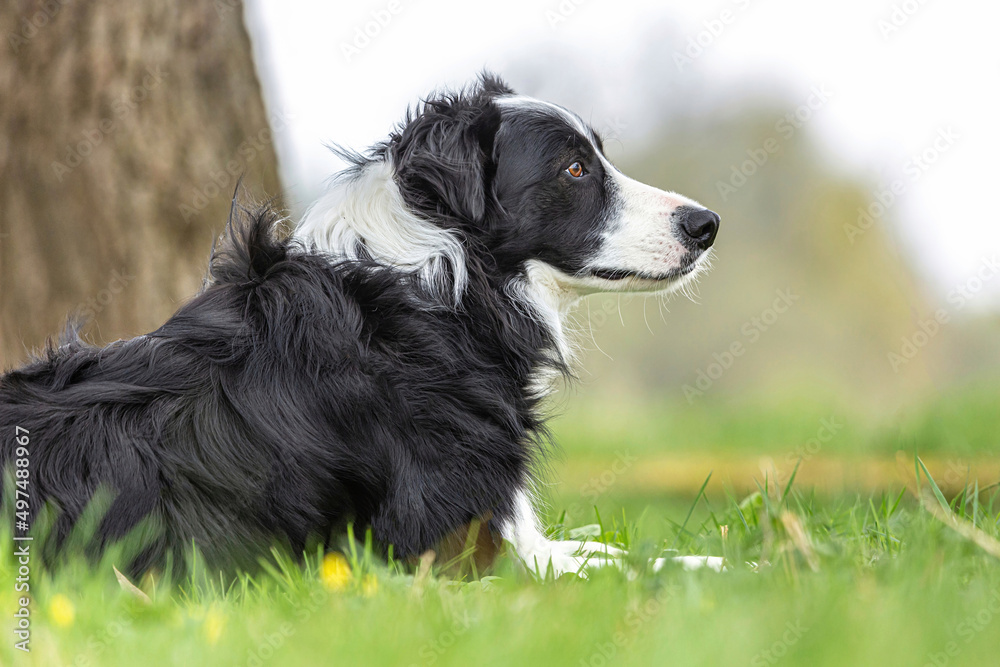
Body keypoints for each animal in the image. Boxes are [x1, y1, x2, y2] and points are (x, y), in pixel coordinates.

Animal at [0, 72, 720, 576]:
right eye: (574, 168)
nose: (707, 223)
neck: (444, 284)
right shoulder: (447, 551)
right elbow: (646, 565)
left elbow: (617, 548)